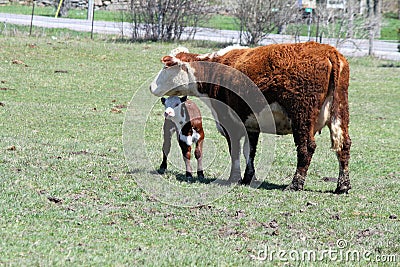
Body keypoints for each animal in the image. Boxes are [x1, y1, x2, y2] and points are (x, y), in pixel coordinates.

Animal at [149, 42, 350, 194]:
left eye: (165, 67)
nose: (151, 86)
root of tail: (328, 50)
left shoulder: (230, 122)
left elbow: (236, 151)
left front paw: (234, 178)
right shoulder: (251, 125)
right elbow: (249, 151)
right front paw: (248, 177)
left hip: (302, 115)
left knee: (306, 147)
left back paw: (295, 184)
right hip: (340, 112)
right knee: (343, 145)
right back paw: (343, 186)